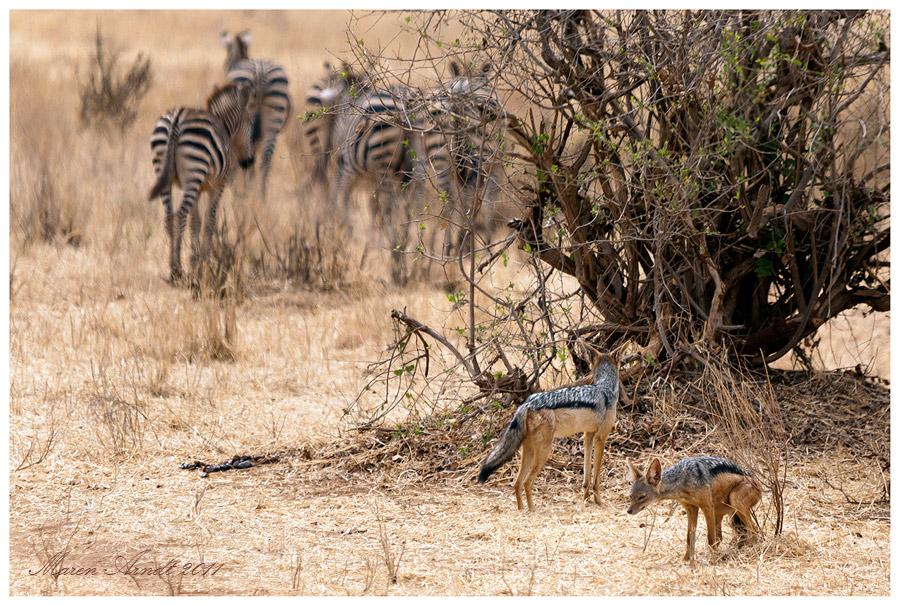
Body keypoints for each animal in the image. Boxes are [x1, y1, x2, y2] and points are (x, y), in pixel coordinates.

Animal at [148, 80, 253, 284]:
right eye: (251, 124)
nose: (249, 161)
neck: (226, 127)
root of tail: (178, 117)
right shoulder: (217, 186)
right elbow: (210, 222)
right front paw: (205, 263)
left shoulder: (197, 190)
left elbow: (195, 222)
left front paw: (195, 261)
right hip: (194, 172)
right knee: (180, 215)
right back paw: (177, 271)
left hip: (164, 170)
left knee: (169, 217)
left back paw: (173, 269)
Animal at [217, 30, 290, 201]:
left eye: (225, 64)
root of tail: (260, 72)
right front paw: (249, 187)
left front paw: (243, 188)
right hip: (273, 120)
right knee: (266, 158)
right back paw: (262, 196)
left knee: (240, 158)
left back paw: (238, 193)